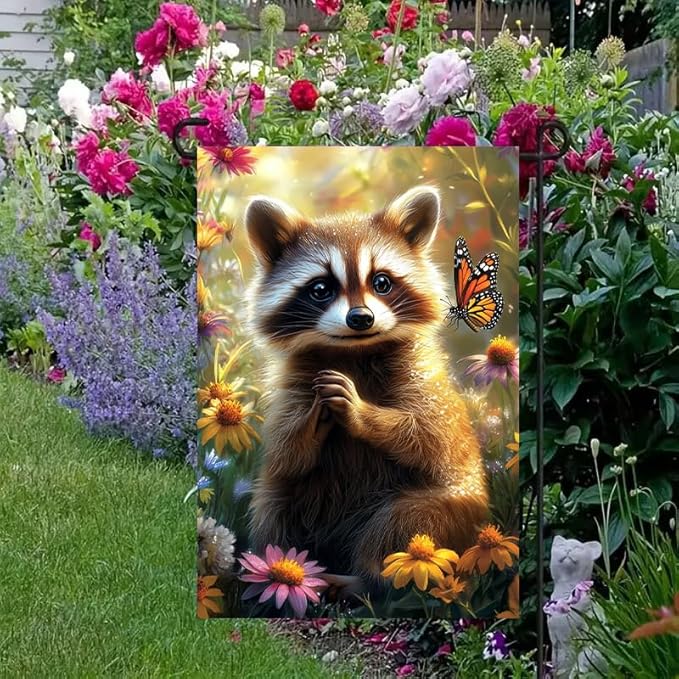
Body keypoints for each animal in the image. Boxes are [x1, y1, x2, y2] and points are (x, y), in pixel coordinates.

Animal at [244, 185, 489, 586]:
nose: (361, 318)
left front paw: (363, 413)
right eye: (321, 289)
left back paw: (366, 577)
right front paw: (312, 421)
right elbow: (286, 454)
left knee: (404, 521)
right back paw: (278, 565)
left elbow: (432, 437)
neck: (354, 351)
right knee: (275, 504)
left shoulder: (425, 379)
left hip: (450, 510)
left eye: (382, 282)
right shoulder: (292, 387)